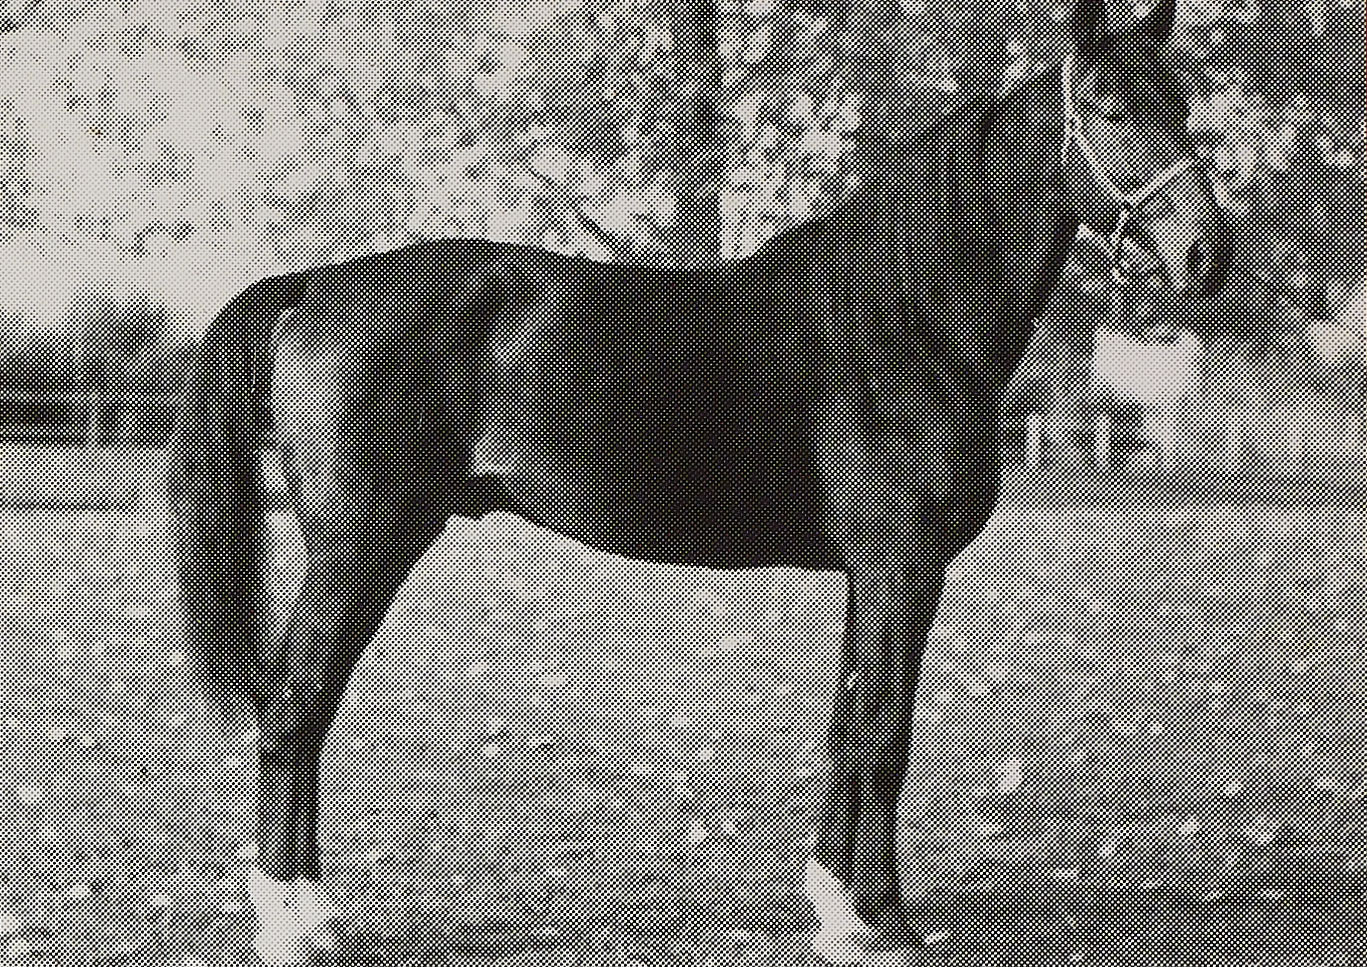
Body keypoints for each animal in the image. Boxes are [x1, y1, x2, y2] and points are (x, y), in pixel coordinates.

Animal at [168, 3, 1230, 962]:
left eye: (1183, 104)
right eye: (1108, 107)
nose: (1206, 254)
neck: (904, 319)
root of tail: (317, 284)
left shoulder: (869, 570)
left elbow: (847, 721)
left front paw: (833, 905)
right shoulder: (904, 564)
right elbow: (885, 730)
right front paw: (882, 921)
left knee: (303, 709)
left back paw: (309, 909)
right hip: (362, 545)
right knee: (296, 705)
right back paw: (292, 922)